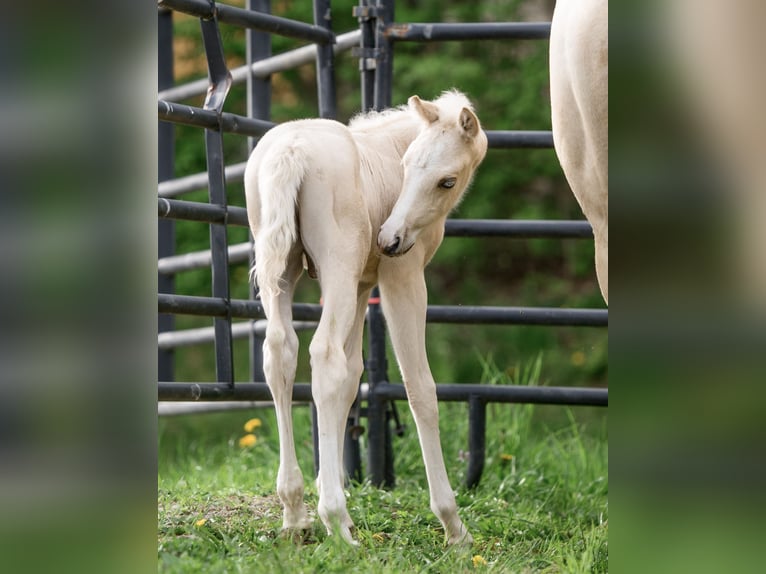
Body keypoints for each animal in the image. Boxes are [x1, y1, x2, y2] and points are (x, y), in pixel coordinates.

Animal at [244, 90, 488, 545]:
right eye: (407, 167)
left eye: (445, 180)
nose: (389, 239)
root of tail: (290, 150)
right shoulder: (401, 276)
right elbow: (419, 386)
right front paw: (453, 526)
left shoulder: (361, 285)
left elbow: (353, 375)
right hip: (338, 264)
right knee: (322, 355)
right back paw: (336, 522)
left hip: (284, 270)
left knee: (281, 353)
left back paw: (296, 513)